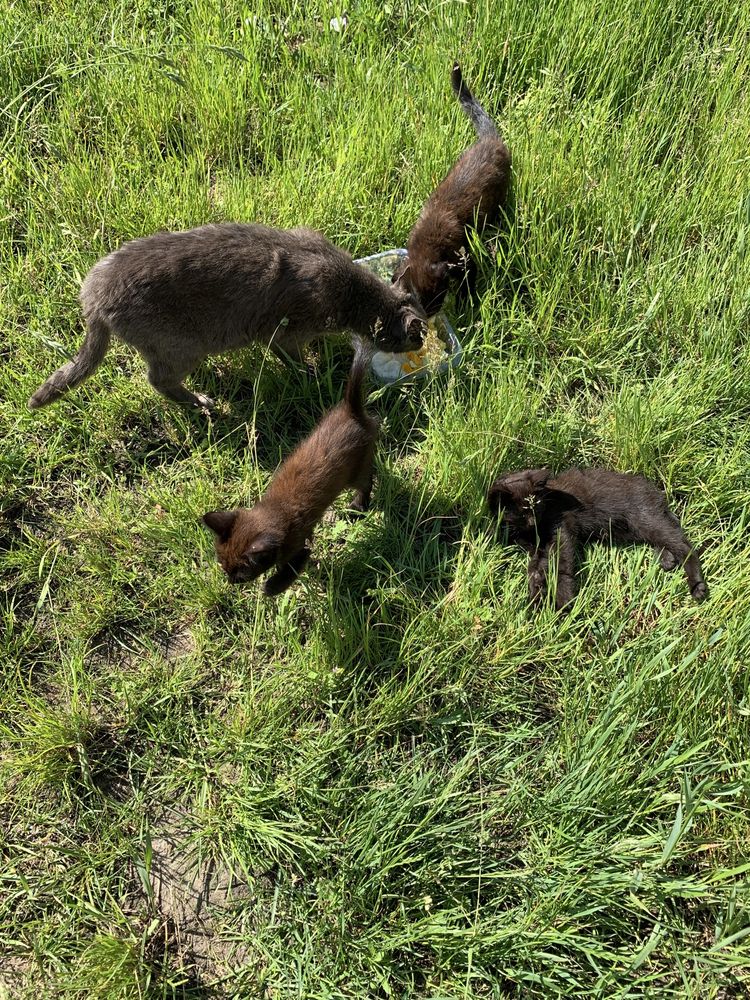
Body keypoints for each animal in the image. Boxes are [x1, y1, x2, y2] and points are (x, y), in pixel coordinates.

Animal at [27, 224, 428, 410]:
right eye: (416, 336)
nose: (424, 338)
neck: (350, 291)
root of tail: (93, 293)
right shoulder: (283, 334)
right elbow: (295, 358)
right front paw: (314, 373)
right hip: (182, 345)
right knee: (157, 379)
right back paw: (200, 402)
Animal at [203, 342, 378, 592]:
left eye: (241, 574)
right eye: (223, 565)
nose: (230, 581)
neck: (275, 510)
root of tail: (351, 410)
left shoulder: (300, 546)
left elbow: (290, 569)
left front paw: (270, 588)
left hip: (357, 469)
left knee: (367, 481)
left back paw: (358, 506)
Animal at [394, 63, 512, 312]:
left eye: (438, 298)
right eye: (415, 299)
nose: (428, 316)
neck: (428, 242)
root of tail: (490, 140)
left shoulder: (463, 259)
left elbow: (470, 279)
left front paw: (467, 302)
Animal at [490, 466, 708, 608]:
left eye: (536, 508)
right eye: (521, 513)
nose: (532, 522)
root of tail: (655, 491)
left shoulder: (561, 529)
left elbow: (561, 564)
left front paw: (563, 601)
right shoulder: (539, 546)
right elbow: (535, 567)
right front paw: (535, 595)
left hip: (643, 517)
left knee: (683, 545)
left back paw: (697, 586)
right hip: (634, 526)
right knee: (666, 538)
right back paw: (667, 559)